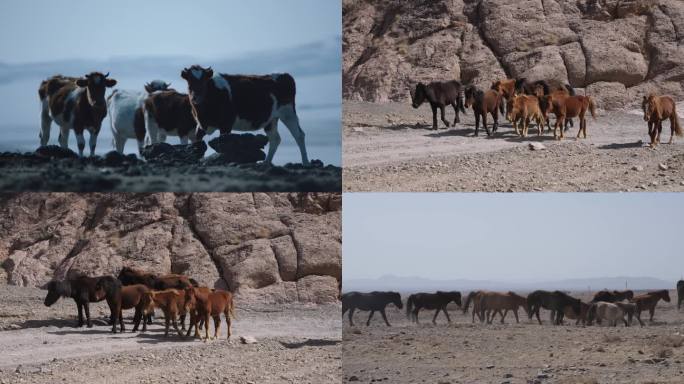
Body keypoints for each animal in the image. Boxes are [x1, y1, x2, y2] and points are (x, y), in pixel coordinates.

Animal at [182, 64, 310, 165]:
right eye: (189, 82)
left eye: (204, 81)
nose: (196, 97)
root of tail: (285, 75)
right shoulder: (200, 126)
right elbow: (198, 145)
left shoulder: (226, 124)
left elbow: (223, 144)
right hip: (271, 119)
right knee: (275, 139)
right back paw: (266, 163)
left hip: (288, 113)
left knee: (299, 135)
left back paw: (305, 162)